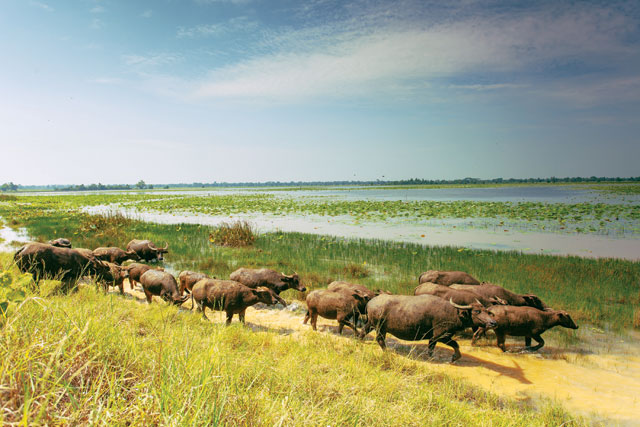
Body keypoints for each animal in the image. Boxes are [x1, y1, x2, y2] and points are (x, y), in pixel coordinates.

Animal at [360, 296, 496, 362]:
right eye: (477, 311)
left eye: (486, 310)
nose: (493, 323)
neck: (453, 313)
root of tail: (370, 302)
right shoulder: (440, 335)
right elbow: (453, 344)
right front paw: (453, 357)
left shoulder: (435, 337)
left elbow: (434, 347)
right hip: (380, 327)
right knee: (380, 339)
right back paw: (386, 351)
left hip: (371, 324)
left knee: (363, 331)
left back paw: (359, 341)